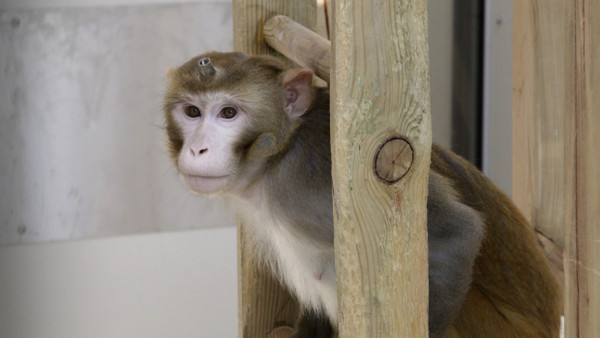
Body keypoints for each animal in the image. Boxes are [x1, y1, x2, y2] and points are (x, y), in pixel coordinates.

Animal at [164, 51, 564, 336]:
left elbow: (456, 232)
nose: (197, 149)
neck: (275, 159)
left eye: (228, 113)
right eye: (192, 111)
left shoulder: (311, 183)